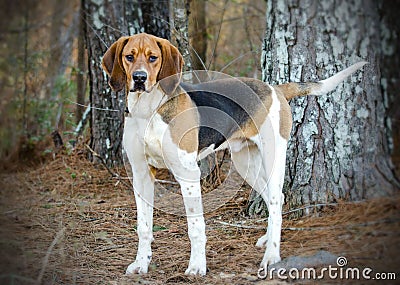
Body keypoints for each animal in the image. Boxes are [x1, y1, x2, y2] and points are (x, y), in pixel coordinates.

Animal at [101, 33, 368, 276]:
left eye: (153, 57)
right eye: (129, 57)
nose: (139, 78)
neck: (148, 110)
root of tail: (274, 89)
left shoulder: (189, 175)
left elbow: (195, 227)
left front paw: (197, 266)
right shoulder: (141, 174)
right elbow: (143, 227)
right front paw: (141, 264)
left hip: (273, 158)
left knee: (275, 200)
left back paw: (272, 255)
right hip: (245, 163)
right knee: (275, 199)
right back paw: (267, 239)